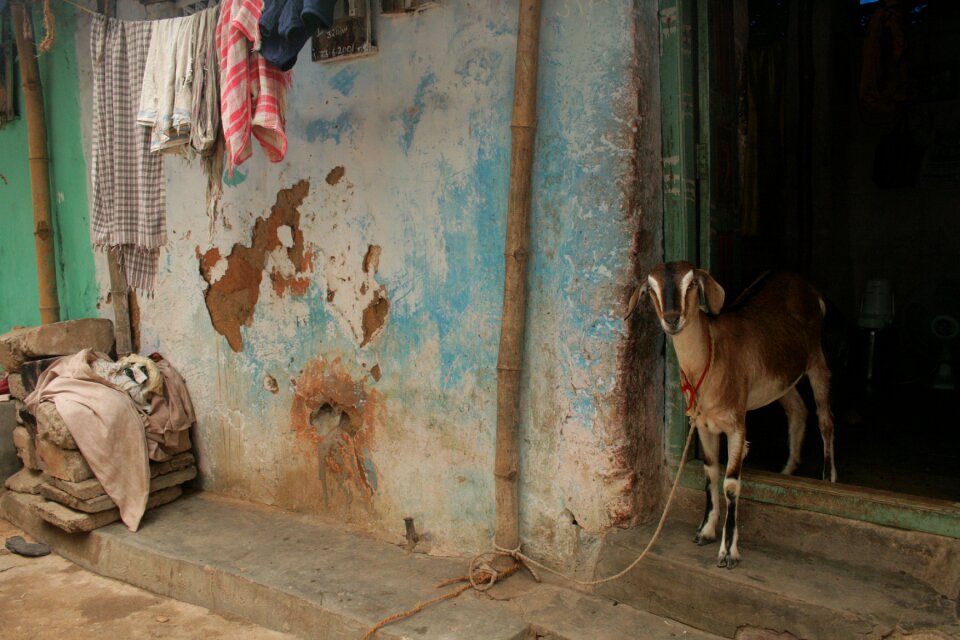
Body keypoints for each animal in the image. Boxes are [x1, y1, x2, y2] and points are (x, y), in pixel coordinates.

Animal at [628, 262, 836, 568]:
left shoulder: (736, 425)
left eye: (691, 284)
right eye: (651, 288)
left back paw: (828, 478)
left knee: (825, 419)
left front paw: (728, 551)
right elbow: (710, 473)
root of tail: (808, 287)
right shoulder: (703, 425)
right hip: (780, 378)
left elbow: (730, 483)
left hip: (816, 359)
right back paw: (787, 470)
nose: (672, 319)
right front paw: (705, 530)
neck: (711, 358)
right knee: (798, 410)